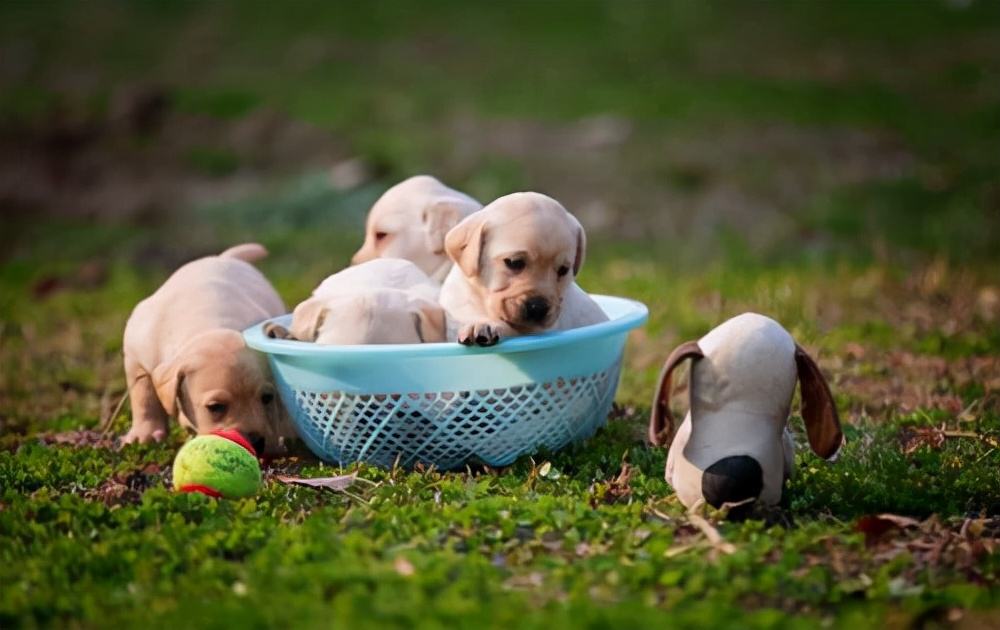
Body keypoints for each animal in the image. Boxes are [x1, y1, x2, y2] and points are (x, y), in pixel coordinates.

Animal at [121, 244, 292, 456]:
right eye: (215, 407)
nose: (256, 442)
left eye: (267, 398)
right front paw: (145, 434)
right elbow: (143, 394)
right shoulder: (135, 354)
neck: (210, 326)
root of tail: (225, 257)